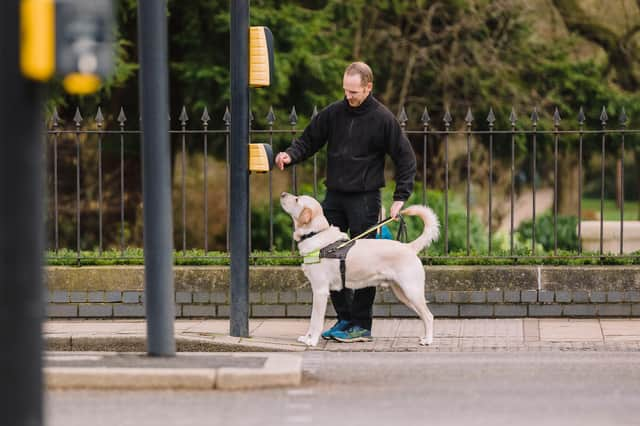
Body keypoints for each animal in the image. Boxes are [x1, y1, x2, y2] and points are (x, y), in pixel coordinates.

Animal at [280, 192, 440, 346]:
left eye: (297, 199)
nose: (282, 194)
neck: (315, 234)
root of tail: (409, 247)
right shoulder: (316, 290)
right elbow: (312, 320)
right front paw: (306, 337)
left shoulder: (320, 291)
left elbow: (316, 320)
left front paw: (312, 341)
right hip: (403, 294)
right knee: (424, 315)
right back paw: (425, 337)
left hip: (412, 291)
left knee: (429, 316)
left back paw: (428, 340)